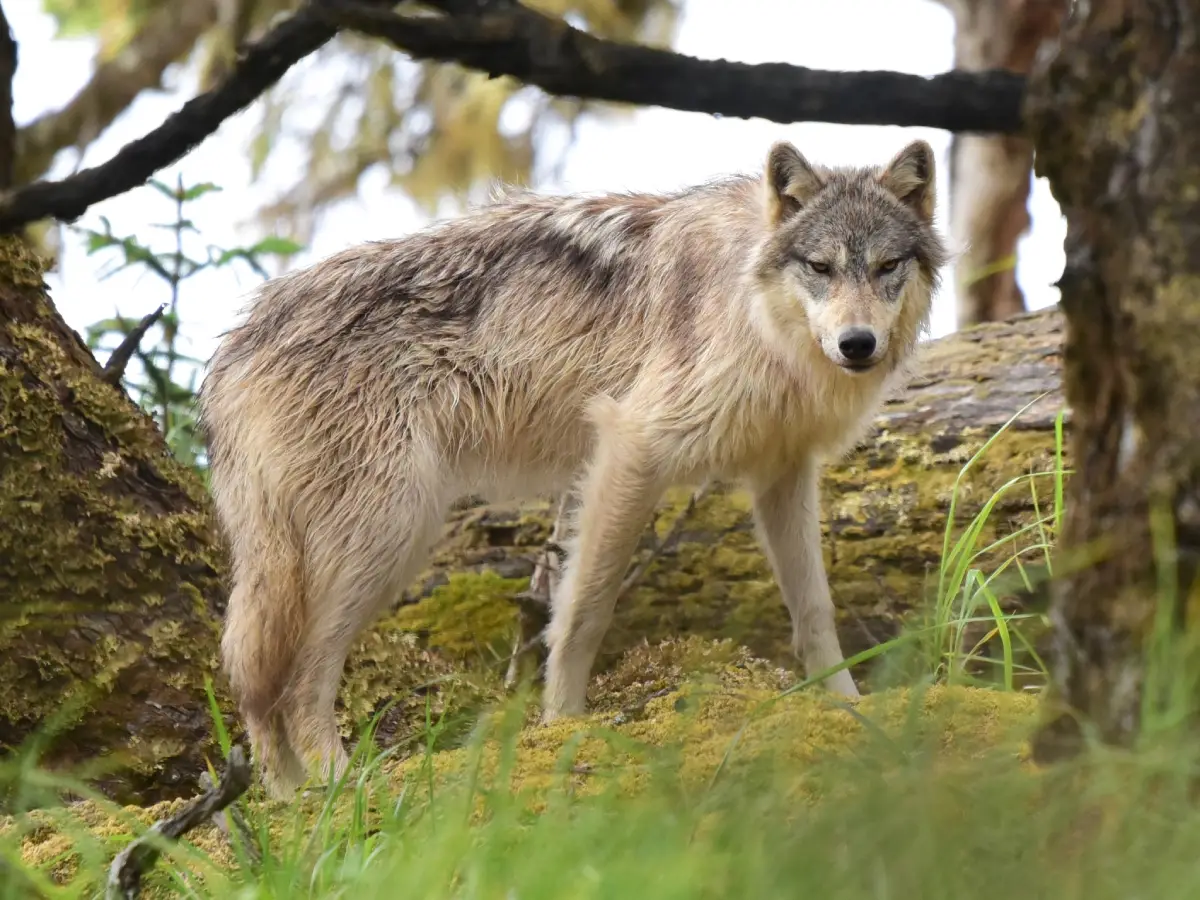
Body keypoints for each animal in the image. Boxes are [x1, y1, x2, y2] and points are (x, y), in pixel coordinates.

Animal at [196, 137, 945, 801]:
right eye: (820, 267)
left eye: (886, 266)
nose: (857, 344)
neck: (753, 315)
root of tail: (232, 347)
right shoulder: (630, 447)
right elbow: (584, 610)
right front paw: (562, 724)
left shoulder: (784, 472)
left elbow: (815, 611)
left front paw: (849, 708)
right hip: (387, 537)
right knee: (295, 679)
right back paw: (339, 785)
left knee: (258, 681)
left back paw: (285, 797)